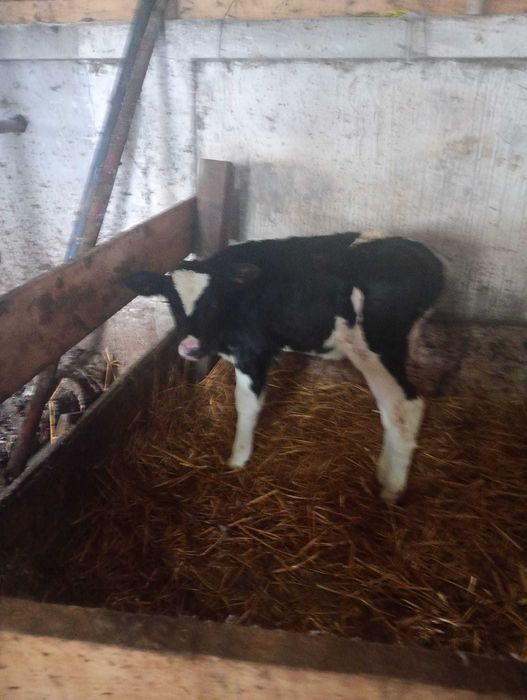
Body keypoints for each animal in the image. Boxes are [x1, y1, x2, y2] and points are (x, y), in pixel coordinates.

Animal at [124, 232, 444, 503]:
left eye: (213, 302)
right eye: (171, 302)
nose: (190, 347)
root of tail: (424, 256)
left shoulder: (252, 351)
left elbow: (247, 405)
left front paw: (238, 459)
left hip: (378, 349)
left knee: (404, 408)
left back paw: (391, 488)